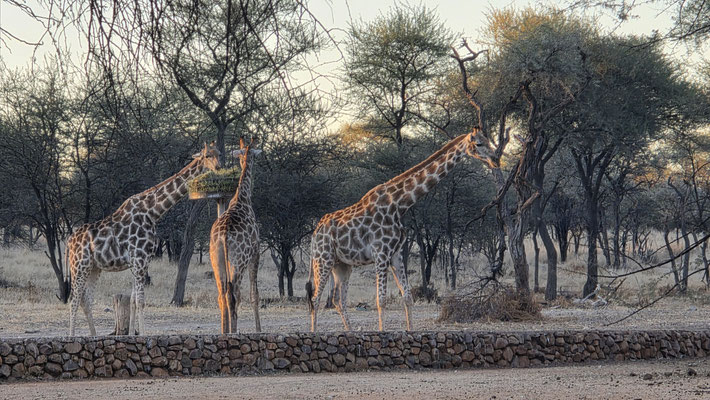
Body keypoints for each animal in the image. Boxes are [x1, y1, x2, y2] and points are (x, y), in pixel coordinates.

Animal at [67, 142, 221, 336]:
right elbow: (140, 301)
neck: (153, 212)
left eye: (219, 154)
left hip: (94, 268)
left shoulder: (140, 261)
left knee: (85, 299)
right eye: (207, 155)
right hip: (79, 265)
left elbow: (133, 300)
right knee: (74, 299)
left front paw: (133, 334)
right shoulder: (139, 259)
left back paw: (94, 336)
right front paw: (145, 335)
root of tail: (69, 242)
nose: (218, 167)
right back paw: (72, 336)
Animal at [209, 138, 262, 334]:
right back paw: (233, 331)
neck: (242, 197)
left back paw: (224, 332)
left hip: (217, 261)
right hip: (238, 262)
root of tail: (223, 235)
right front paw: (259, 330)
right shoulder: (256, 252)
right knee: (233, 295)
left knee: (222, 295)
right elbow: (254, 294)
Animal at [306, 130, 495, 332]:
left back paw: (349, 332)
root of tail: (315, 233)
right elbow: (381, 300)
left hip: (341, 265)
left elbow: (407, 296)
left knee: (338, 300)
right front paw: (382, 332)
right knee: (315, 298)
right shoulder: (381, 254)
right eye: (479, 143)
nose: (494, 159)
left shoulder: (395, 254)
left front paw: (410, 330)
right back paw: (315, 332)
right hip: (323, 259)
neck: (399, 205)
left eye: (487, 141)